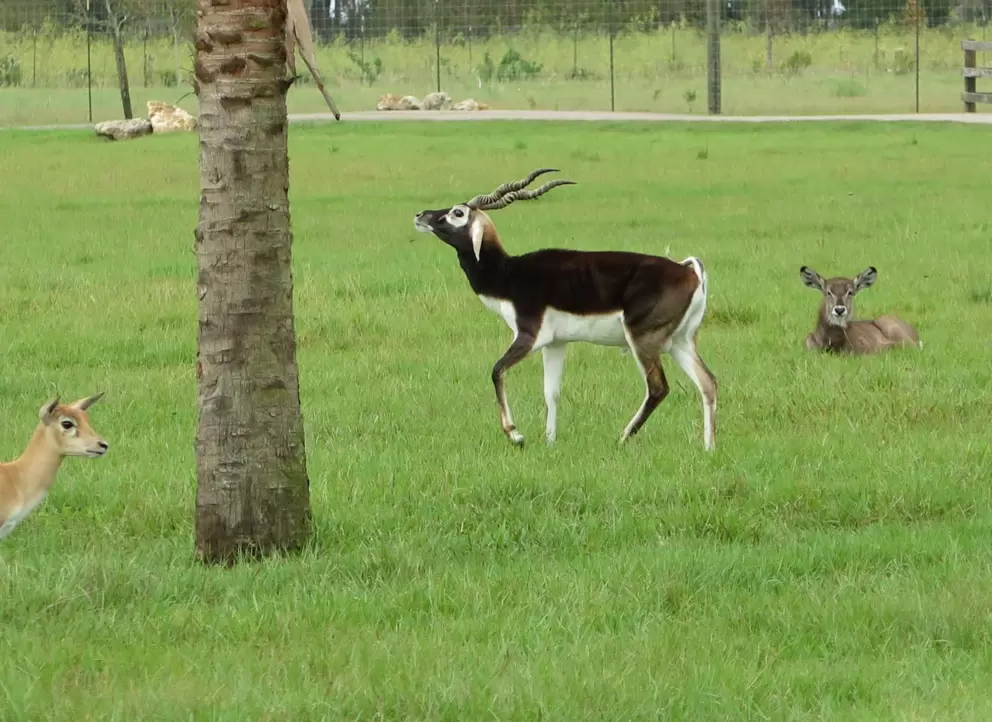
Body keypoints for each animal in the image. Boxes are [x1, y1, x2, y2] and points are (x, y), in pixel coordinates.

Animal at [413, 168, 718, 450]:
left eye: (457, 212)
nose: (420, 215)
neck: (508, 275)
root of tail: (688, 271)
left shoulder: (529, 337)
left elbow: (496, 370)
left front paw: (516, 435)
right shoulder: (555, 343)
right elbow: (551, 392)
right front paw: (549, 442)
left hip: (643, 340)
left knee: (658, 388)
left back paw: (622, 438)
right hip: (679, 342)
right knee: (708, 383)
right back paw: (709, 447)